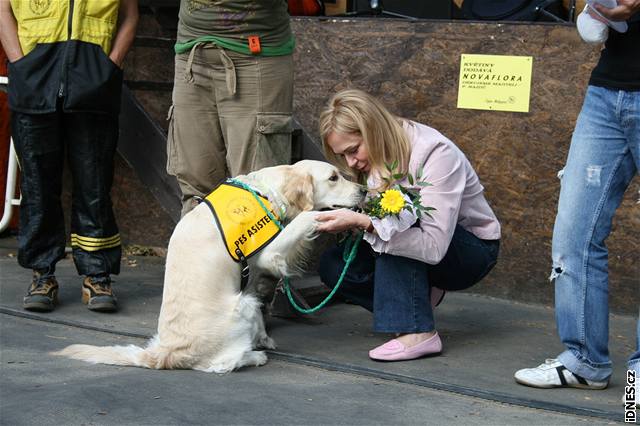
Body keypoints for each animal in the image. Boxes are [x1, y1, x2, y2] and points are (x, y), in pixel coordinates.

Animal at [52, 160, 362, 372]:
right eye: (333, 177)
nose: (363, 190)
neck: (264, 192)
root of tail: (165, 352)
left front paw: (263, 336)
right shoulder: (269, 252)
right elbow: (306, 218)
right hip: (240, 304)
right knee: (222, 364)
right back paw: (254, 356)